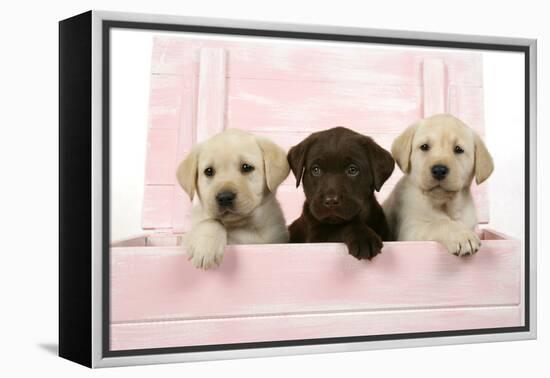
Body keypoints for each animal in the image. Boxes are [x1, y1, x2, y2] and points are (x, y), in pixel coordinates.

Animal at [177, 129, 292, 268]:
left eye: (246, 167)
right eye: (208, 171)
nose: (225, 197)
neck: (243, 226)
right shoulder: (187, 236)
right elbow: (211, 221)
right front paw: (206, 247)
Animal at [288, 127, 396, 260]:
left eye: (352, 170)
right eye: (316, 170)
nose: (330, 201)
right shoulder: (317, 237)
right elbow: (342, 226)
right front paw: (364, 238)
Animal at [384, 113, 496, 256]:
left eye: (458, 149)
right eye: (424, 147)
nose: (439, 170)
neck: (442, 204)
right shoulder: (409, 230)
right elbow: (438, 223)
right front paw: (461, 235)